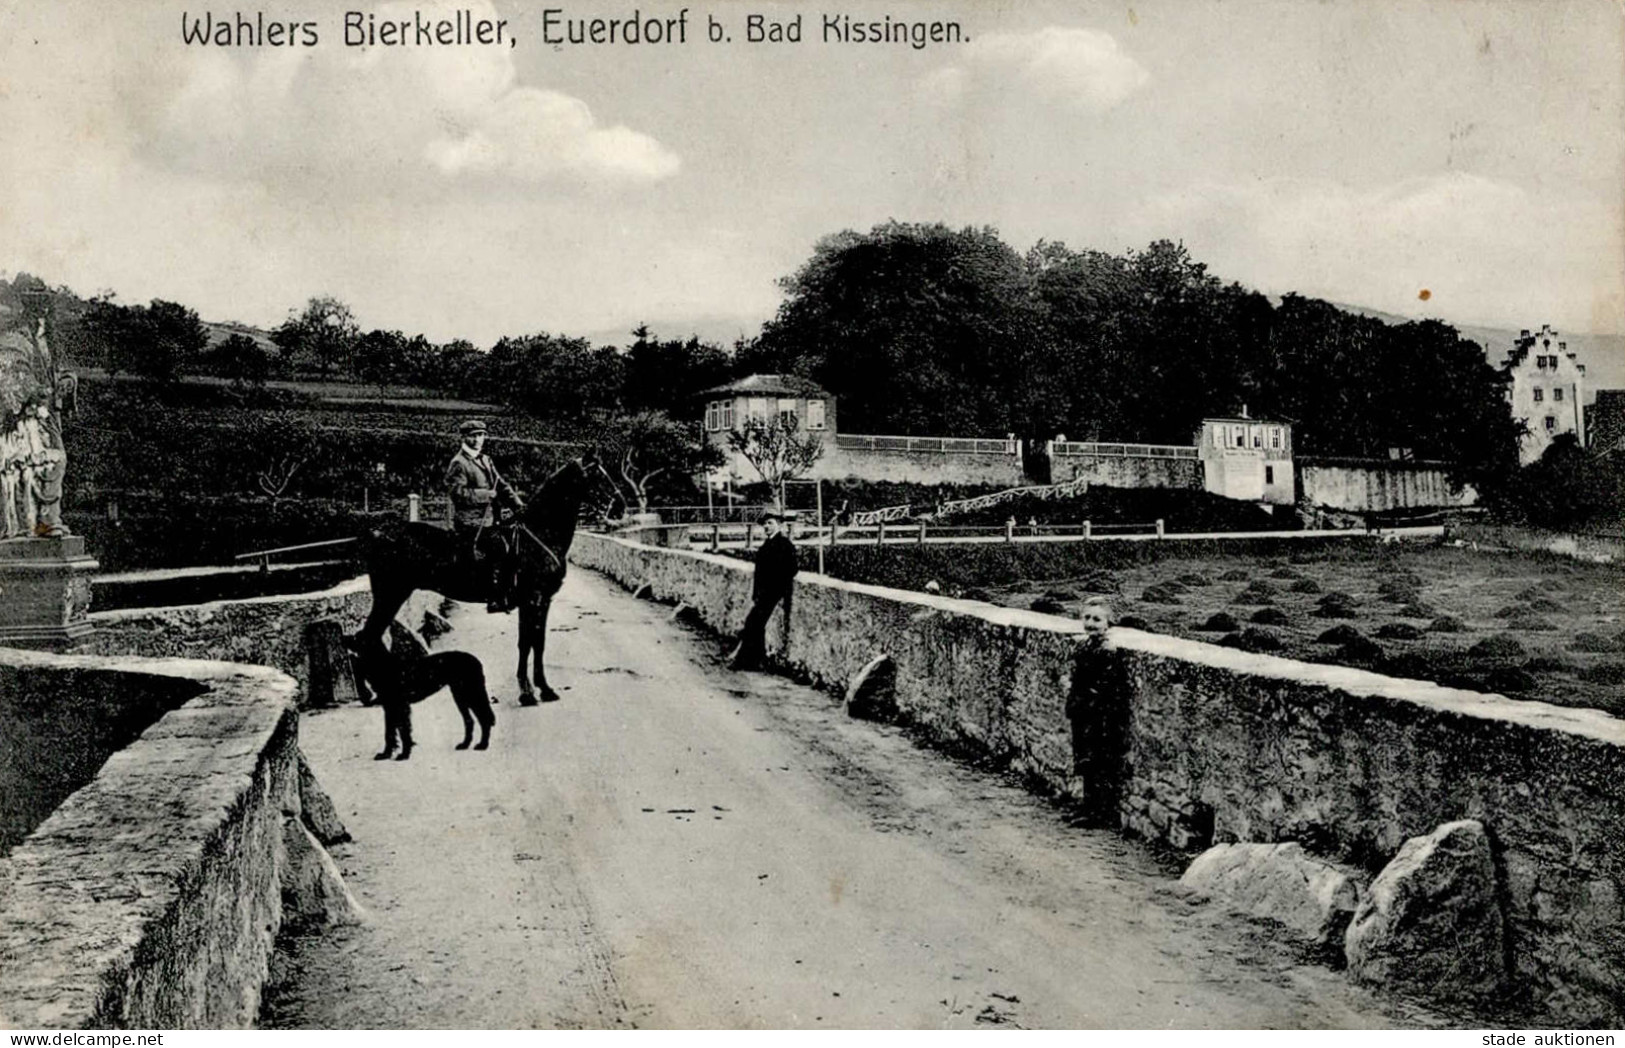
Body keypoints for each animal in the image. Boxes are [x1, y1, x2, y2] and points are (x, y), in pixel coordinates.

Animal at [342, 630, 494, 760]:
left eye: (356, 637)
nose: (343, 637)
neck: (383, 665)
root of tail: (476, 661)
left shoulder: (400, 706)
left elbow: (403, 732)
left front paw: (404, 754)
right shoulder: (389, 707)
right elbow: (389, 733)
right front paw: (386, 754)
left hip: (472, 694)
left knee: (484, 719)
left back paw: (483, 745)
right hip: (460, 695)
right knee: (469, 720)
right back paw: (465, 744)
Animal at [355, 454, 604, 708]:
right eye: (597, 475)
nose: (616, 506)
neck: (537, 536)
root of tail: (378, 533)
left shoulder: (543, 602)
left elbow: (538, 643)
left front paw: (544, 689)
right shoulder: (531, 601)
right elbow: (526, 643)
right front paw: (527, 692)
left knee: (367, 638)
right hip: (390, 595)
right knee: (365, 638)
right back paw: (368, 694)